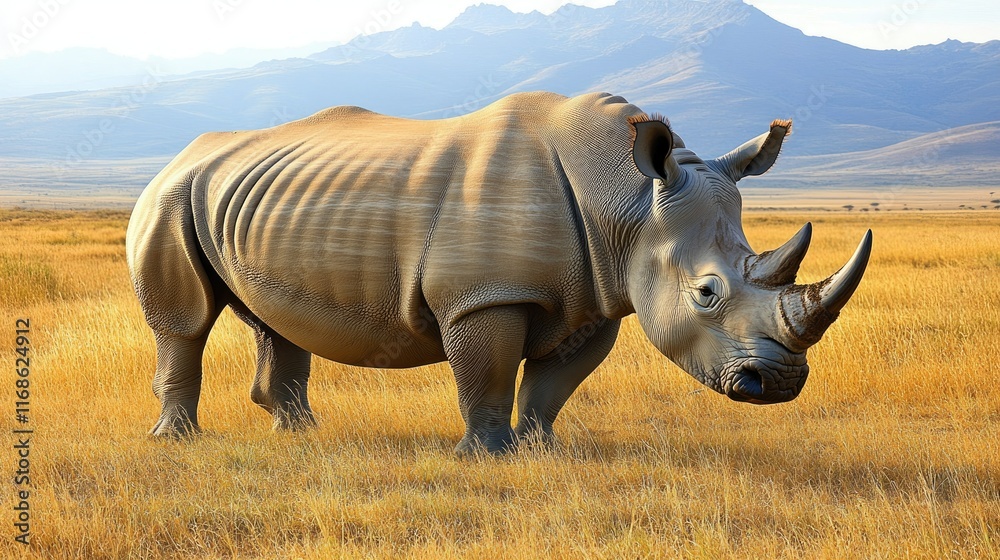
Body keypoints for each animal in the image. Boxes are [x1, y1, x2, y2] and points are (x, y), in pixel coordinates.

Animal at [126, 91, 871, 455]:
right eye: (707, 293)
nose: (780, 384)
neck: (628, 200)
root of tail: (182, 154)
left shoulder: (595, 295)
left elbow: (553, 384)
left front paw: (541, 450)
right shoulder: (481, 297)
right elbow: (485, 372)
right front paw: (485, 455)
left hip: (247, 198)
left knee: (272, 320)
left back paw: (299, 436)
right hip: (168, 195)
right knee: (184, 323)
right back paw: (177, 443)